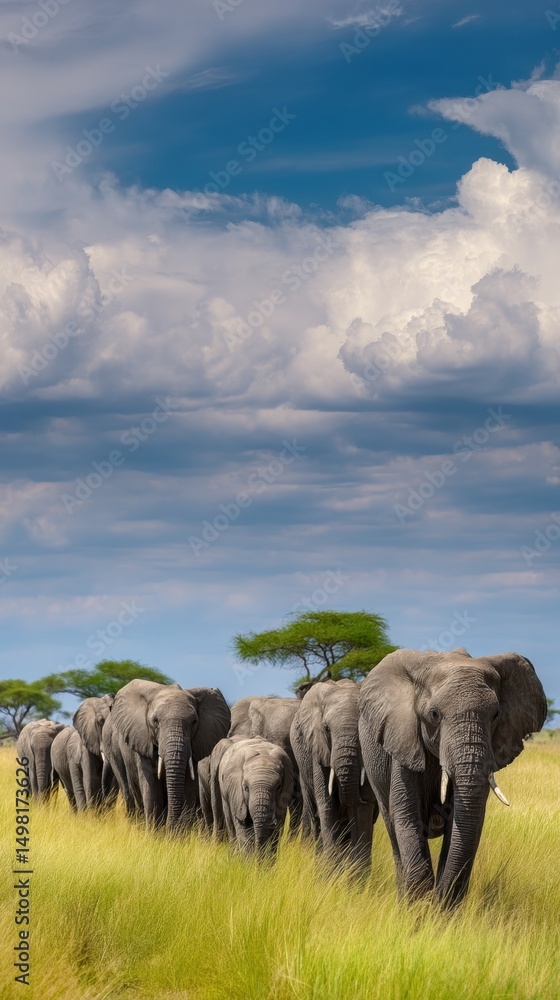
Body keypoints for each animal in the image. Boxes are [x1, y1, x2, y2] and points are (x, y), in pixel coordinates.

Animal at [110, 680, 231, 829]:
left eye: (194, 722)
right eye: (155, 720)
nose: (170, 826)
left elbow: (188, 787)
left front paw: (179, 833)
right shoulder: (143, 741)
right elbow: (151, 788)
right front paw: (154, 833)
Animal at [290, 679, 377, 870]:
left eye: (362, 728)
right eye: (326, 729)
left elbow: (361, 811)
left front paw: (357, 876)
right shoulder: (318, 749)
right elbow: (328, 805)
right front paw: (329, 873)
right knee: (316, 818)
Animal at [358, 648, 547, 906]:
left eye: (496, 715)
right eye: (434, 714)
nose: (437, 900)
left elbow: (466, 825)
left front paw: (442, 909)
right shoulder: (404, 740)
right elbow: (407, 816)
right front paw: (419, 909)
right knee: (393, 828)